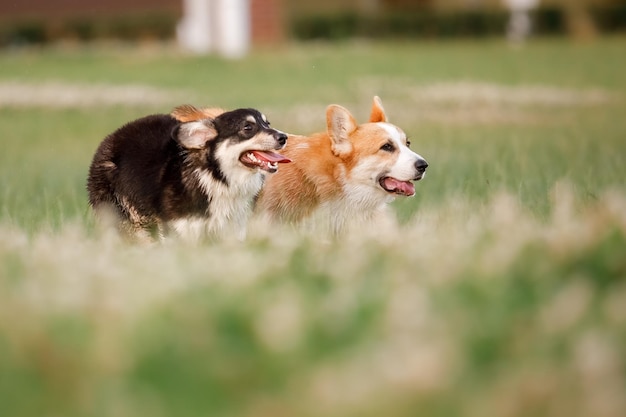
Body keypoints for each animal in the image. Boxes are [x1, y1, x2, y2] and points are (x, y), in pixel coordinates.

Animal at [86, 105, 290, 240]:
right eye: (248, 128)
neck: (216, 175)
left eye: (267, 123)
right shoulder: (183, 228)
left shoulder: (234, 228)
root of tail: (112, 137)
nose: (283, 137)